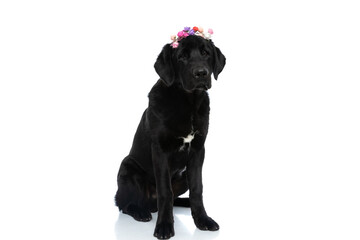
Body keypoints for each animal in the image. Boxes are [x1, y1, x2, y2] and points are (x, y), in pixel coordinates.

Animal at [115, 34, 225, 239]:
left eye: (205, 53)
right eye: (181, 56)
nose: (201, 73)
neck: (188, 102)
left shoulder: (198, 150)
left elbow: (198, 189)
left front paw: (203, 220)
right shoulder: (160, 151)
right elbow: (165, 192)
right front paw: (164, 226)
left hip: (184, 177)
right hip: (128, 167)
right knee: (125, 203)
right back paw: (140, 212)